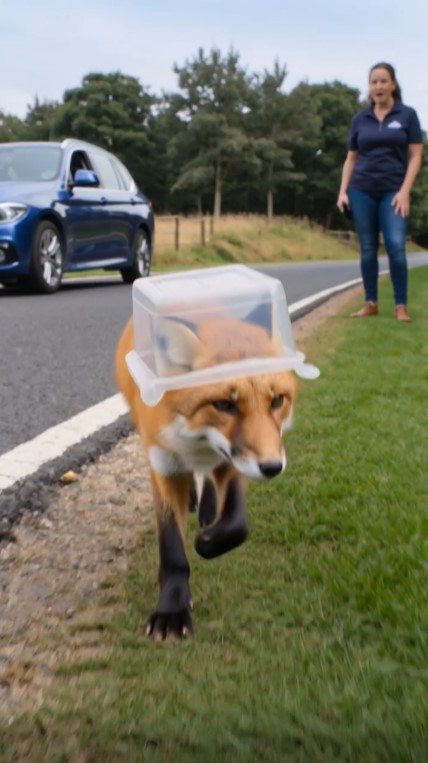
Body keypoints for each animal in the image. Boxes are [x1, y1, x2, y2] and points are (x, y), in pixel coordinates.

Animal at [115, 311, 298, 641]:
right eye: (224, 404)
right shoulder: (162, 464)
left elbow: (236, 525)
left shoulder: (232, 462)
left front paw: (208, 540)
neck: (196, 440)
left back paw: (208, 511)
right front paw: (172, 609)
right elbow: (172, 548)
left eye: (277, 401)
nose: (272, 467)